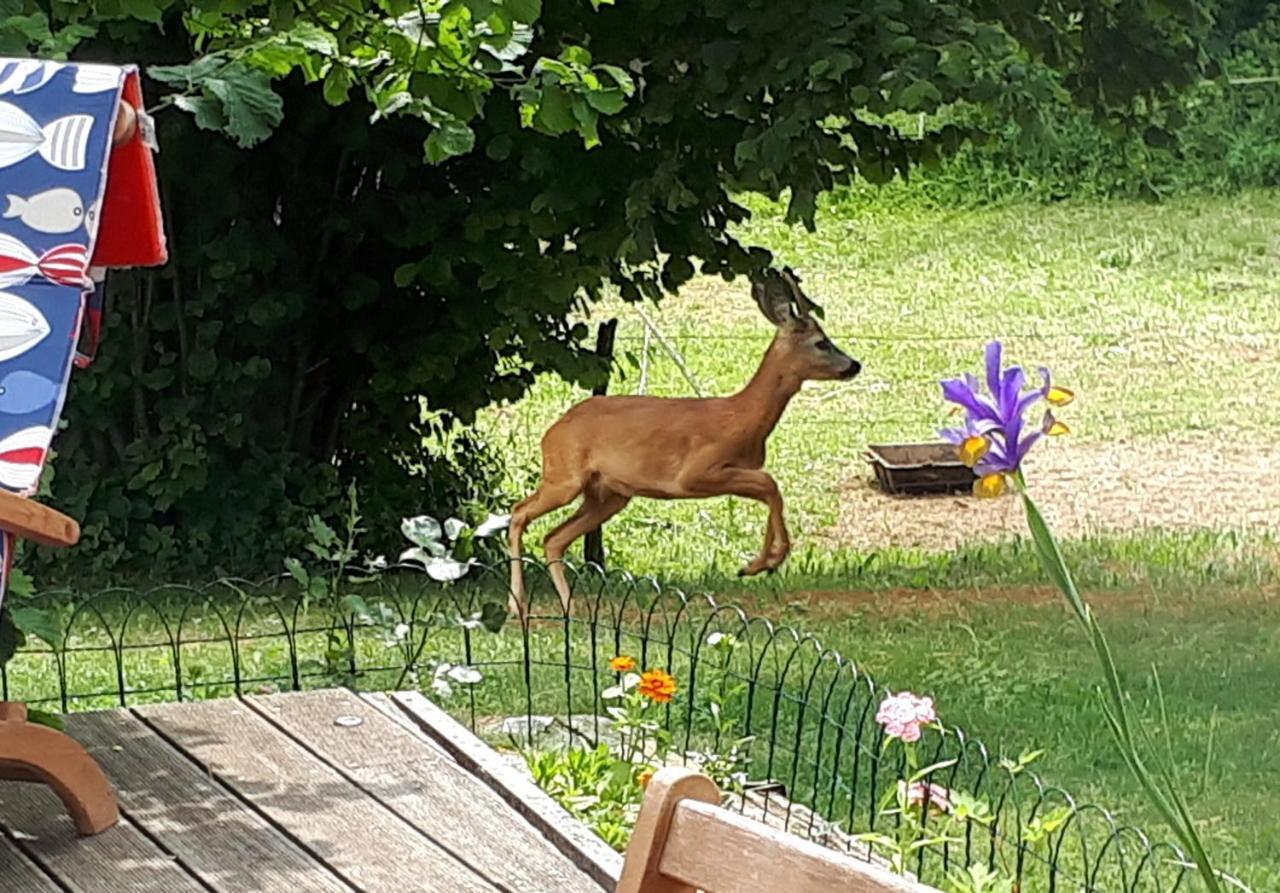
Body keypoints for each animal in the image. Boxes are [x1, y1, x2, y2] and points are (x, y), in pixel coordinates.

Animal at [506, 267, 860, 616]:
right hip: (565, 476)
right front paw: (766, 561)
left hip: (608, 495)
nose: (855, 364)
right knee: (519, 512)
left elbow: (768, 491)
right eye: (821, 343)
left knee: (554, 538)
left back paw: (567, 605)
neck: (741, 417)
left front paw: (759, 564)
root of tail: (551, 432)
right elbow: (770, 484)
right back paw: (517, 604)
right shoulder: (695, 472)